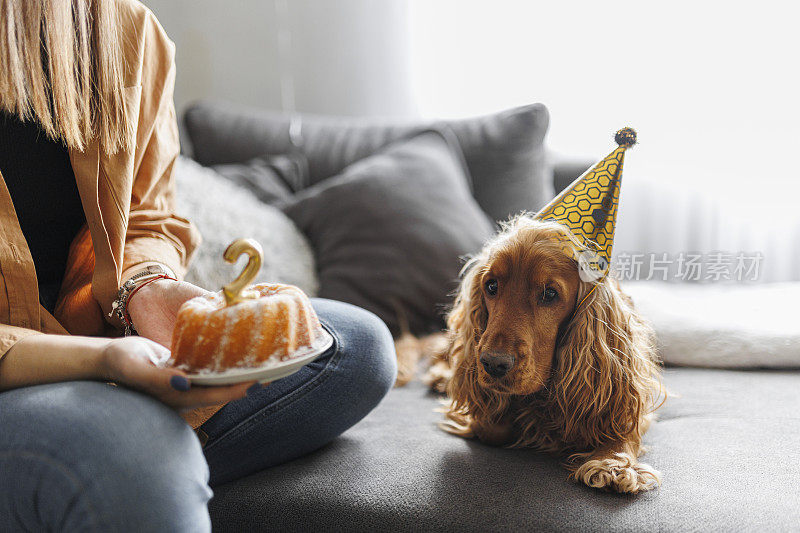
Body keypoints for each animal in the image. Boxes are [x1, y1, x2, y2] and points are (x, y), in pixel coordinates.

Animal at [418, 214, 664, 492]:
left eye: (549, 294)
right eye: (491, 286)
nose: (493, 364)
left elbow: (622, 427)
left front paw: (612, 462)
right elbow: (491, 426)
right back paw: (441, 376)